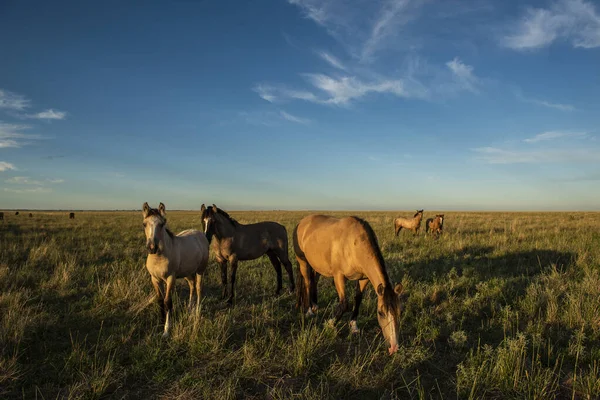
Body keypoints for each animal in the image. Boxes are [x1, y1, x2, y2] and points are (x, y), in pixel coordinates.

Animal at [294, 214, 404, 354]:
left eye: (400, 312)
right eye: (380, 313)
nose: (394, 347)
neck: (354, 244)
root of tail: (302, 222)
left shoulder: (364, 278)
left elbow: (358, 299)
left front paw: (353, 326)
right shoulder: (339, 277)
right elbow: (344, 304)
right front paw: (330, 324)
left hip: (316, 265)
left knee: (314, 281)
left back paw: (314, 305)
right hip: (303, 261)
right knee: (308, 282)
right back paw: (308, 311)